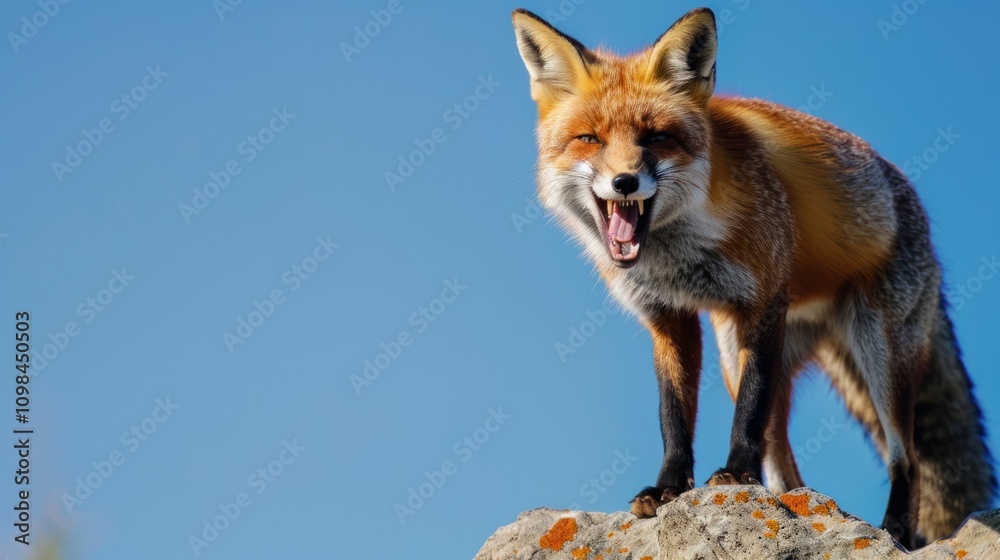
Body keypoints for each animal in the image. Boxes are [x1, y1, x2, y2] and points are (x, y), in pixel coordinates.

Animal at [511, 7, 995, 549]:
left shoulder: (763, 302)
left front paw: (736, 475)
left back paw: (893, 530)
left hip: (878, 354)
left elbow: (748, 410)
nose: (624, 182)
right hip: (737, 351)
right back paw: (796, 510)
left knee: (905, 457)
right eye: (589, 139)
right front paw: (667, 488)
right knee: (787, 467)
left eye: (656, 137)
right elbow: (673, 415)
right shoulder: (669, 318)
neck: (678, 252)